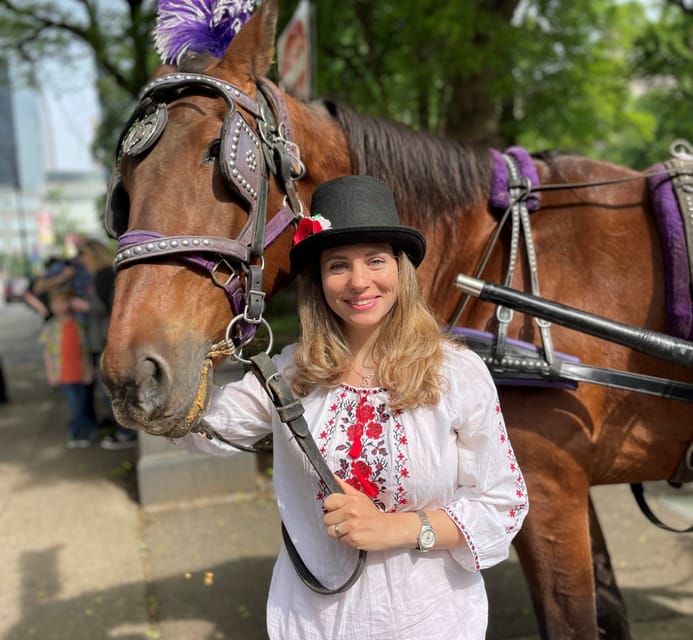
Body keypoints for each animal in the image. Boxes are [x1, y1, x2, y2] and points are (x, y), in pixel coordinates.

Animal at [101, 2, 692, 636]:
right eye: (125, 188)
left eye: (220, 154)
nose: (131, 377)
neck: (485, 248)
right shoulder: (564, 488)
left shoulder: (551, 485)